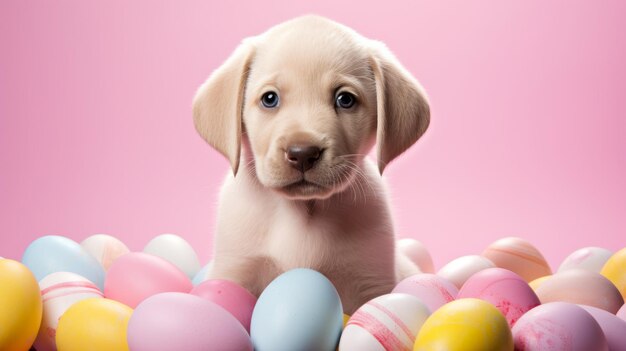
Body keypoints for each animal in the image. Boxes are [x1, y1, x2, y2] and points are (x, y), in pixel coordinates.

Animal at [194, 15, 428, 314]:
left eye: (345, 99)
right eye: (269, 99)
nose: (303, 153)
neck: (302, 210)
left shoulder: (370, 280)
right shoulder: (235, 268)